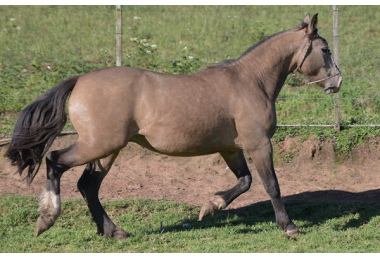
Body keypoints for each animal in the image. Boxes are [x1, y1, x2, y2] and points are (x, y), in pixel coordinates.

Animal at [4, 13, 342, 239]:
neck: (250, 81)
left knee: (88, 186)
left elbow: (245, 182)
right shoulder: (259, 143)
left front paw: (210, 207)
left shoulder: (231, 148)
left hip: (106, 150)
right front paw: (289, 227)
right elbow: (272, 184)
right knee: (55, 161)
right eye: (325, 50)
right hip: (98, 145)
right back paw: (48, 218)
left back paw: (113, 231)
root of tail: (80, 80)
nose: (337, 82)